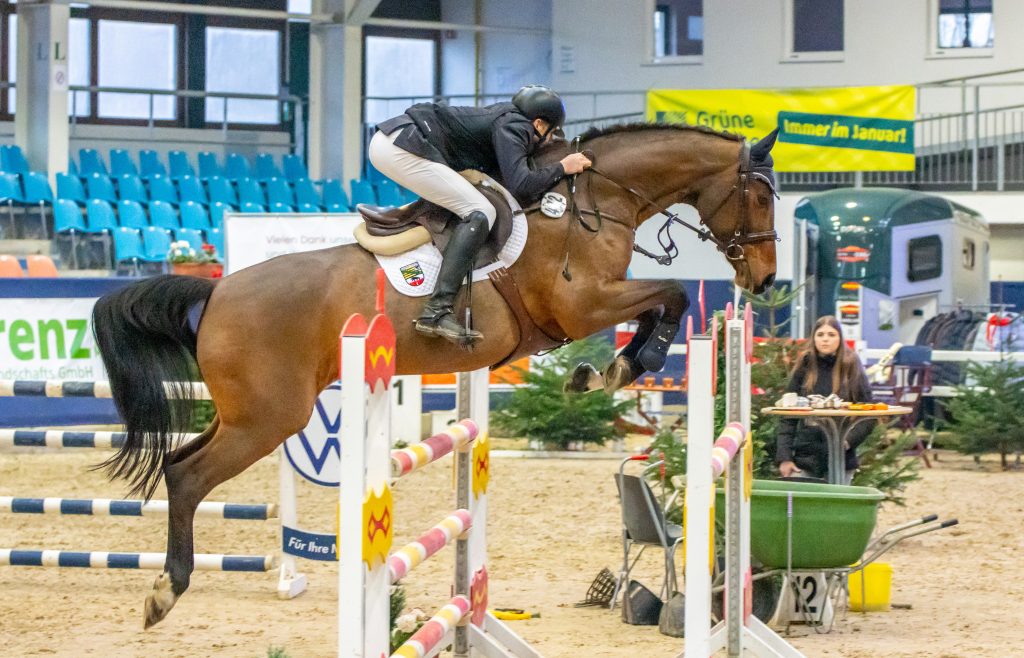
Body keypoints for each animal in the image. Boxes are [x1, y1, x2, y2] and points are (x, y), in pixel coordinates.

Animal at [91, 123, 780, 628]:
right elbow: (670, 295)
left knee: (180, 464)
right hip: (269, 416)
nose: (766, 280)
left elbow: (664, 301)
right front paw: (624, 365)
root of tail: (215, 292)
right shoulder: (582, 304)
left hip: (246, 413)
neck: (592, 203)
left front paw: (599, 371)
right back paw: (166, 590)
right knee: (187, 475)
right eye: (761, 195)